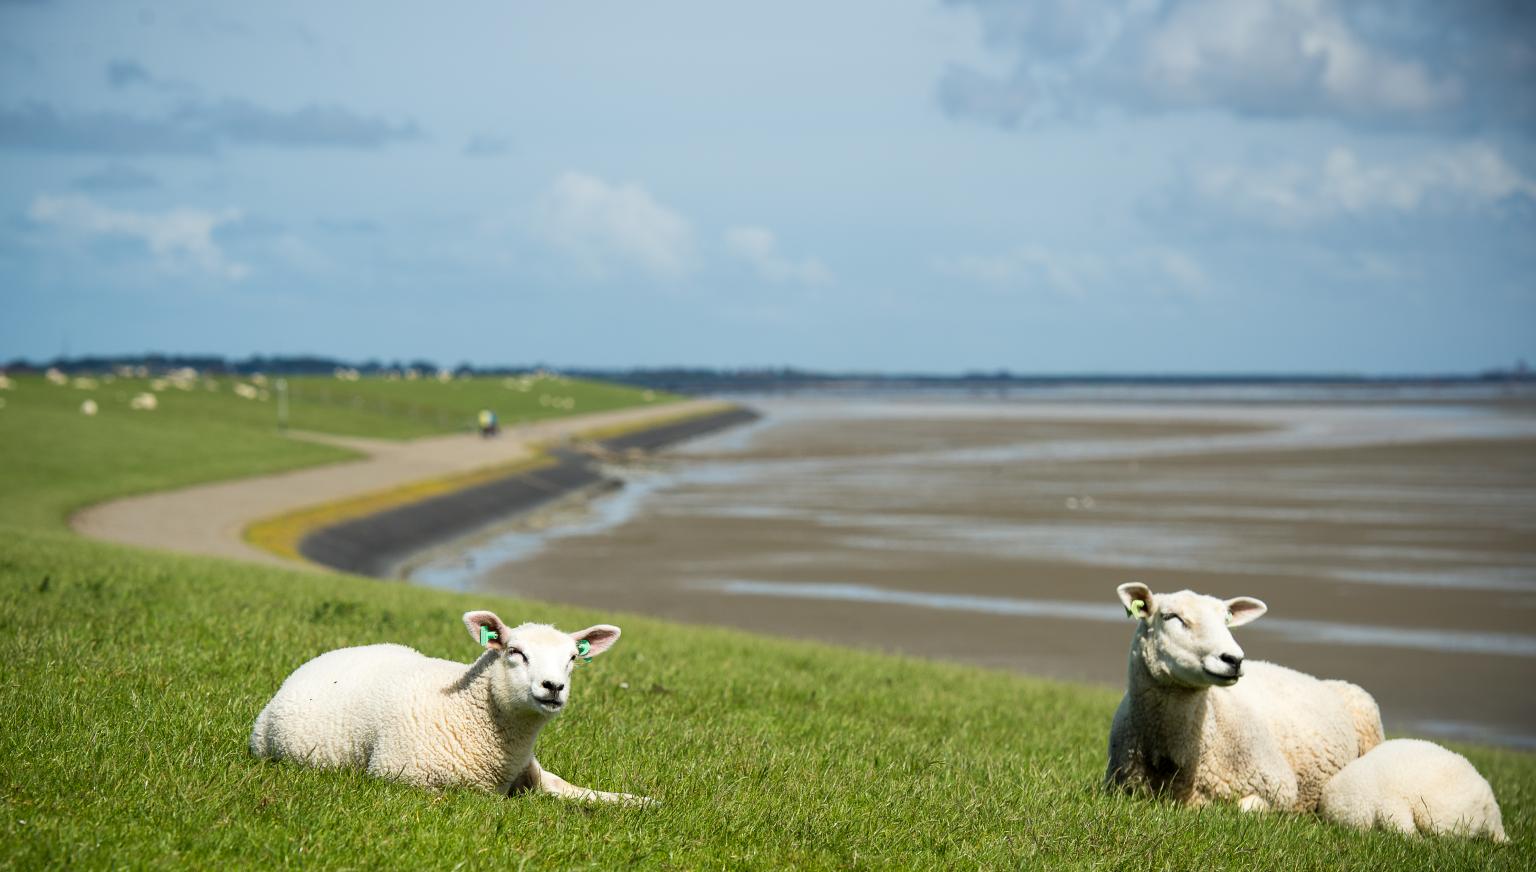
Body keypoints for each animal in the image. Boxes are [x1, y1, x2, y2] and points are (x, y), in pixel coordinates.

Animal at [244, 604, 648, 804]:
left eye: (573, 658)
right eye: (515, 652)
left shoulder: (531, 772)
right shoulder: (400, 776)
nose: (554, 687)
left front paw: (640, 802)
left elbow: (574, 789)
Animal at [1105, 583, 1382, 816]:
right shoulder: (1122, 788)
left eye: (1226, 620)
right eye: (1172, 617)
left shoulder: (1280, 786)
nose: (1234, 659)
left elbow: (1242, 809)